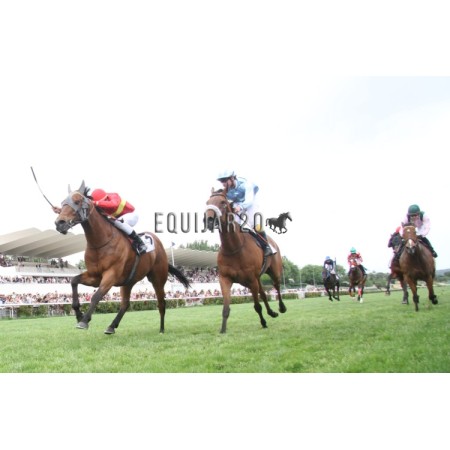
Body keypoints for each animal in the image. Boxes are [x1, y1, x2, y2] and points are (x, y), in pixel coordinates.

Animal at [54, 181, 190, 334]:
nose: (59, 223)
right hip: (128, 281)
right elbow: (74, 281)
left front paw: (84, 321)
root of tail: (159, 245)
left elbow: (96, 296)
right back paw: (111, 326)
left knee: (161, 303)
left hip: (158, 279)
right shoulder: (94, 276)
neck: (100, 242)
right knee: (125, 304)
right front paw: (78, 314)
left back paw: (161, 329)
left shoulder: (111, 275)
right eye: (62, 203)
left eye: (77, 201)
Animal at [205, 189, 287, 333]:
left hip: (274, 271)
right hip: (255, 279)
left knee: (276, 286)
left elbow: (257, 306)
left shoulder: (251, 279)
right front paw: (223, 329)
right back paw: (272, 312)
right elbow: (226, 308)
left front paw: (263, 322)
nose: (209, 220)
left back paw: (281, 308)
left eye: (223, 202)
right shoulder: (225, 279)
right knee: (263, 293)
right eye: (207, 202)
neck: (233, 248)